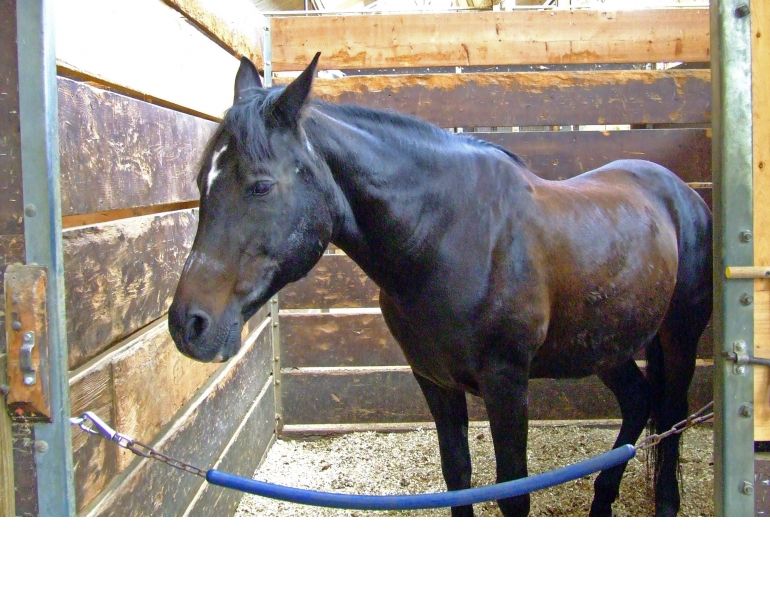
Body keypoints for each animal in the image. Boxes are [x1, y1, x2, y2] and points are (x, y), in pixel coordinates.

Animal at [169, 54, 712, 516]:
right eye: (199, 183)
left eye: (260, 185)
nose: (188, 325)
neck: (448, 239)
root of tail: (680, 193)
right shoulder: (433, 379)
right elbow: (458, 477)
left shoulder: (506, 383)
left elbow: (513, 493)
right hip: (605, 344)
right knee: (639, 402)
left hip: (679, 337)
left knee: (672, 413)